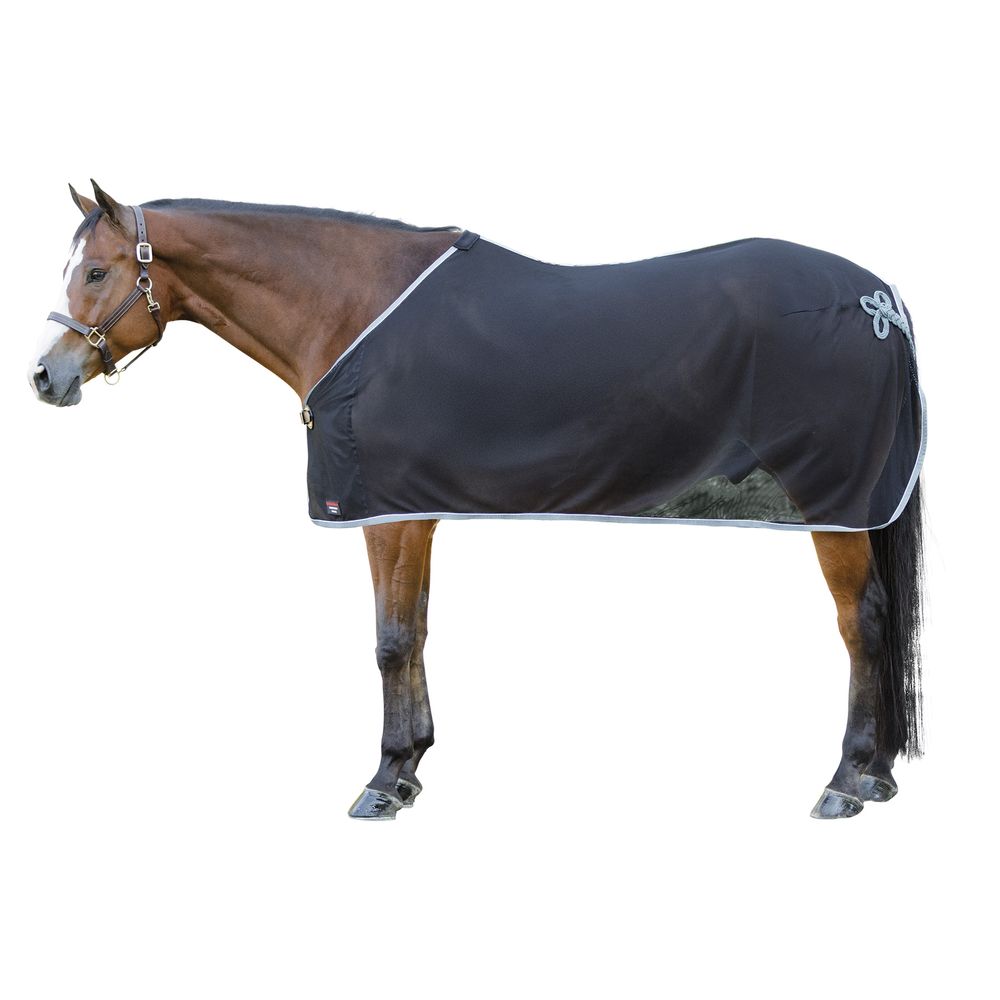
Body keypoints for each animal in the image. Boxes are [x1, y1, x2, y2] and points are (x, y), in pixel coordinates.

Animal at [31, 181, 925, 820]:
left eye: (98, 271)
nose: (45, 375)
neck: (351, 307)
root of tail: (880, 300)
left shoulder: (384, 510)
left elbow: (390, 639)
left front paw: (383, 781)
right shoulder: (412, 509)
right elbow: (418, 629)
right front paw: (413, 764)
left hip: (834, 501)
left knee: (862, 621)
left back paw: (845, 781)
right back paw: (878, 775)